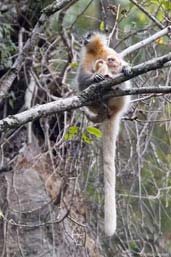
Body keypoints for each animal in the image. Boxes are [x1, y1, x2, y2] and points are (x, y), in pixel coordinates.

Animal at [77, 31, 130, 235]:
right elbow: (82, 83)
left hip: (121, 99)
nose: (83, 39)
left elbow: (119, 63)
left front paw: (124, 68)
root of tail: (112, 112)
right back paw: (103, 81)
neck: (97, 51)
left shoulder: (109, 51)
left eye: (87, 35)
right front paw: (96, 78)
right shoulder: (86, 57)